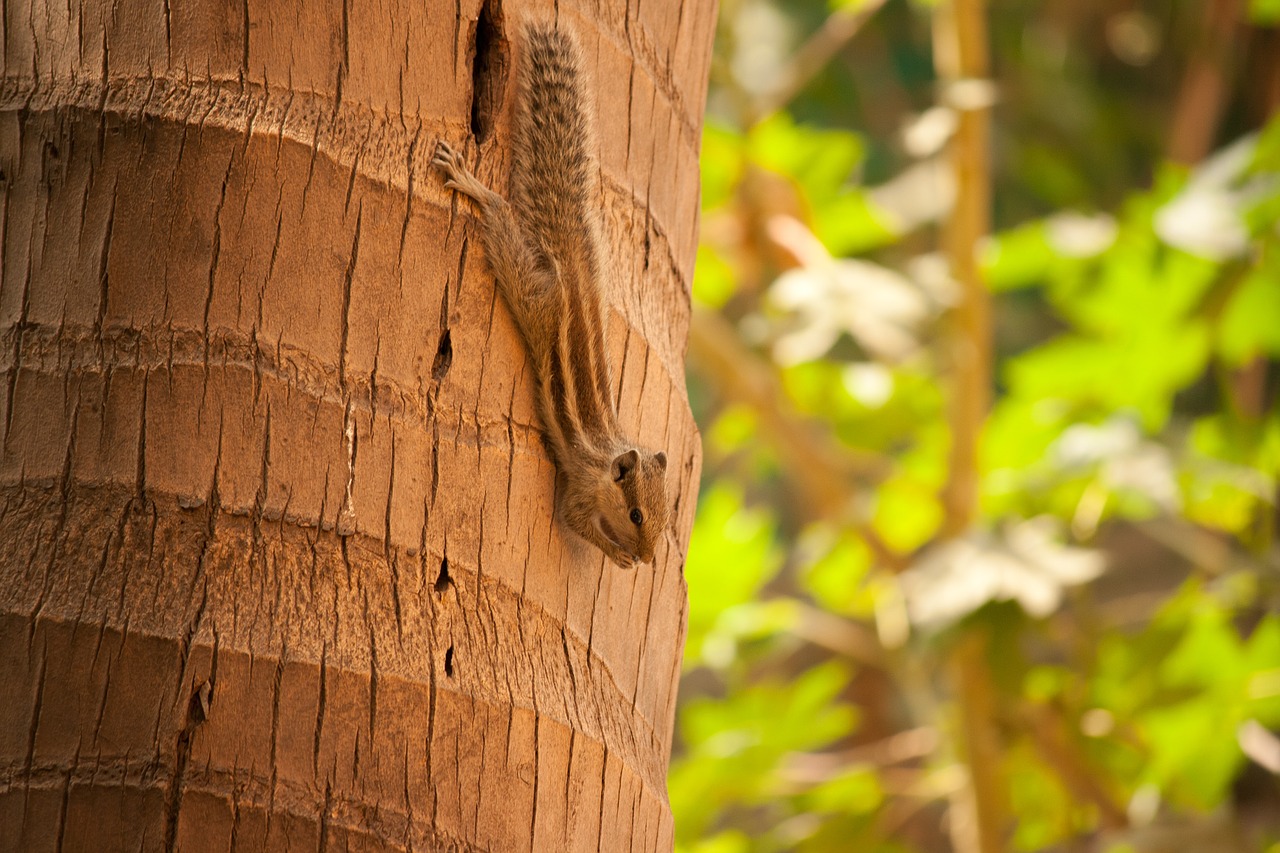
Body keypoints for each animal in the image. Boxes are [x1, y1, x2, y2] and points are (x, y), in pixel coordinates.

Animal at [432, 23, 670, 568]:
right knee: (501, 220)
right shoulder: (580, 493)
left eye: (667, 520)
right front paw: (616, 555)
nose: (649, 561)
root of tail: (577, 274)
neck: (606, 460)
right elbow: (577, 523)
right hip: (533, 293)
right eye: (636, 516)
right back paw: (473, 185)